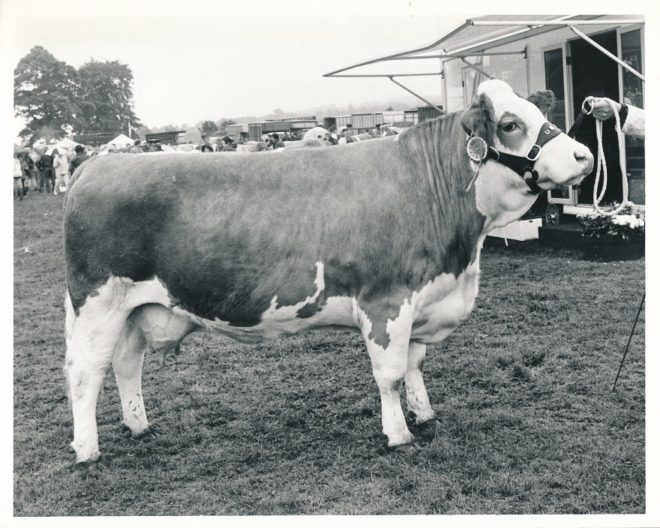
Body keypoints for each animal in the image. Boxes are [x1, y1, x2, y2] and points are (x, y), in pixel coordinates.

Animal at [63, 80, 593, 463]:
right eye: (510, 124)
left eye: (540, 115)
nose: (584, 155)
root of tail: (97, 165)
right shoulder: (386, 302)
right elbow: (390, 375)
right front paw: (398, 434)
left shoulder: (423, 299)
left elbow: (416, 365)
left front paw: (425, 415)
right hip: (98, 304)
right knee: (85, 373)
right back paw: (87, 450)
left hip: (137, 309)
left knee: (126, 364)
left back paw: (138, 425)